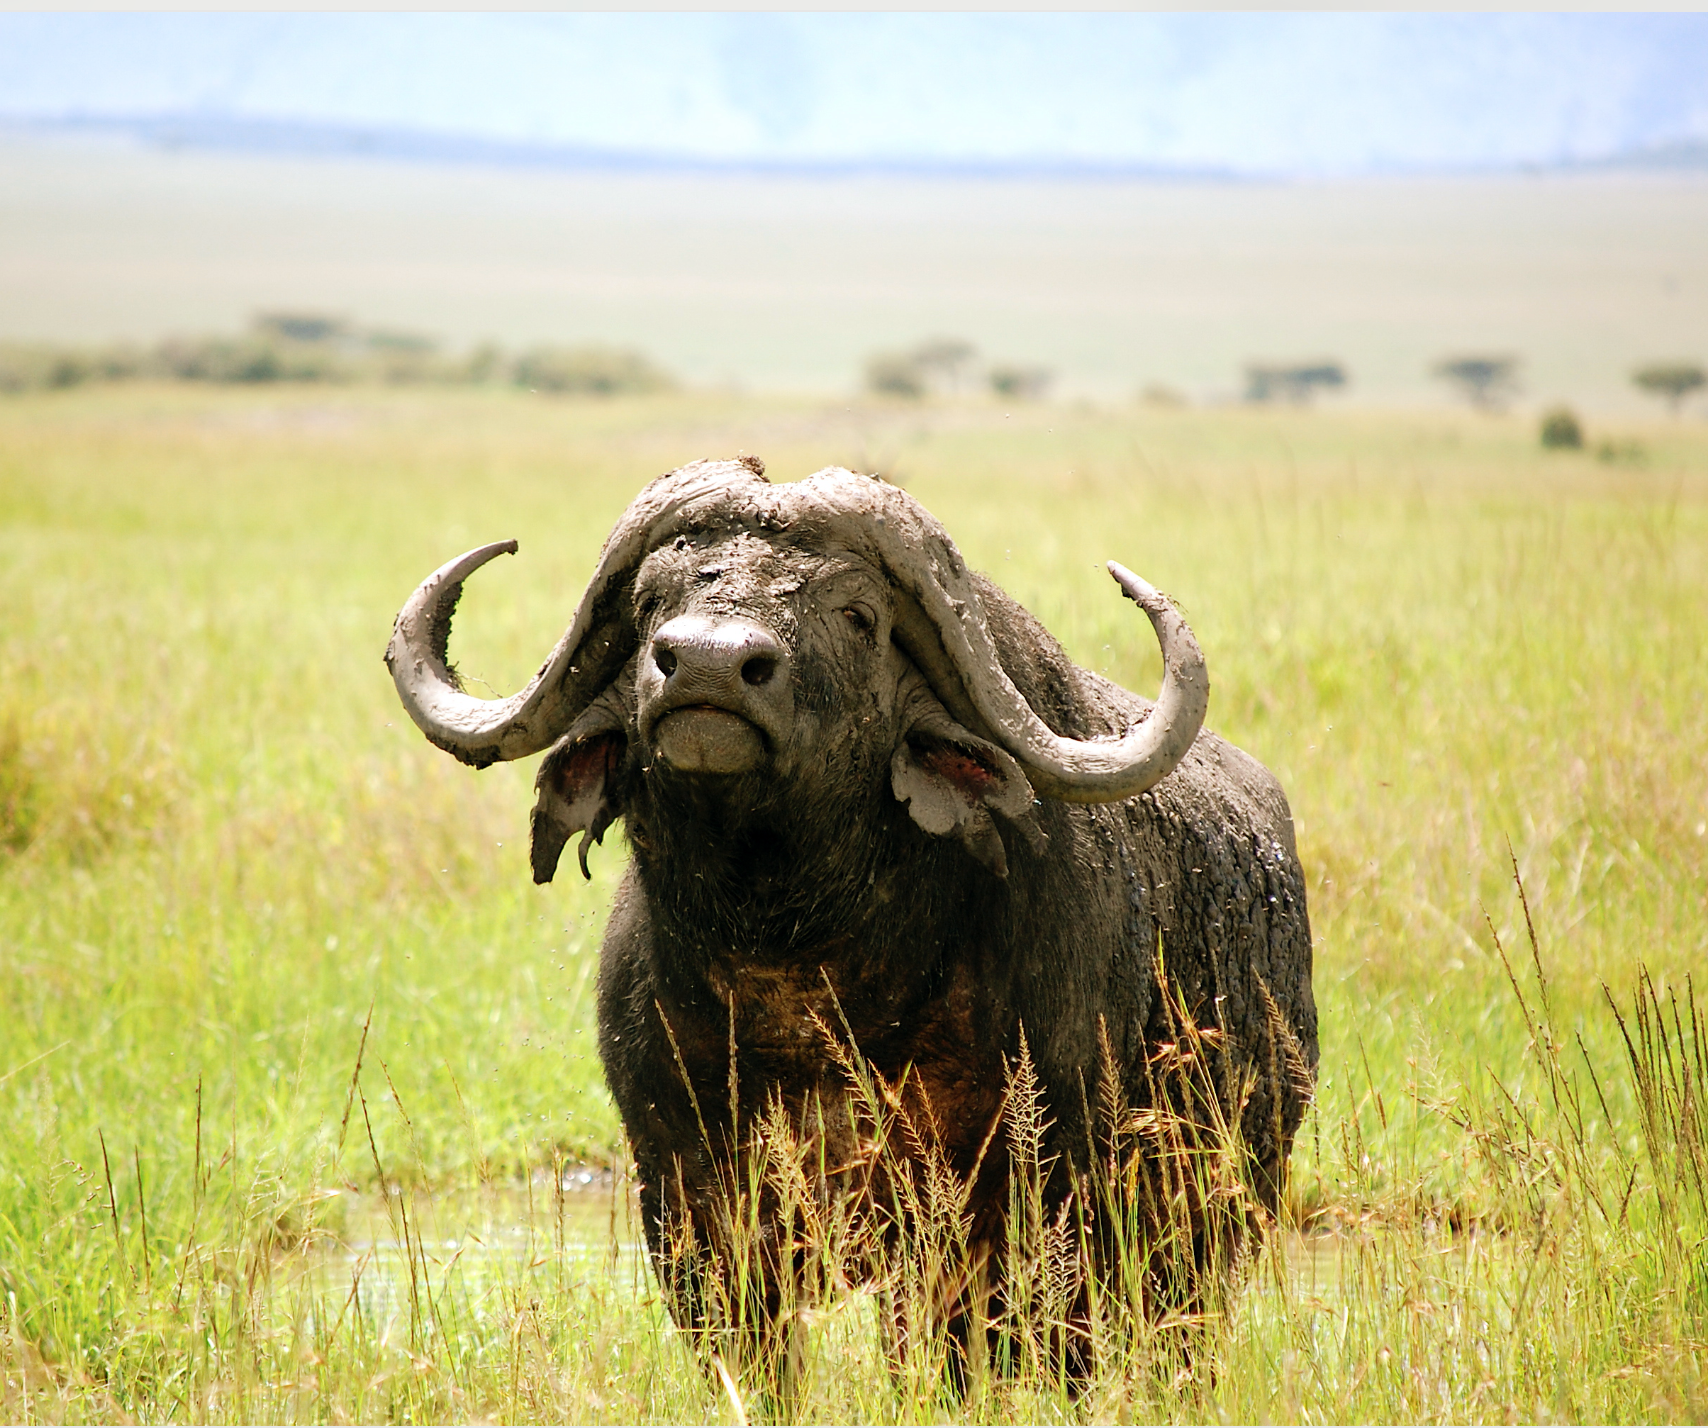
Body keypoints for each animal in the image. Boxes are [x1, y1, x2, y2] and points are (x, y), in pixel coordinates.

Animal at [387, 457, 1316, 1384]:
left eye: (858, 615)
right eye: (653, 598)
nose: (707, 667)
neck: (797, 980)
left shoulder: (1021, 1204)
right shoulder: (686, 1204)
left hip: (1212, 1228)